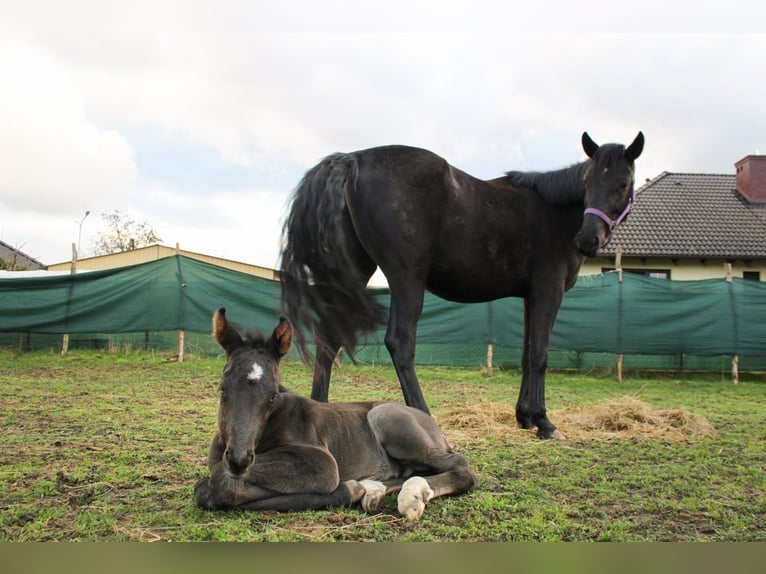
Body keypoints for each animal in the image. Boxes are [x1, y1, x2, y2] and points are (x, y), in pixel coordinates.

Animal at [195, 310, 476, 520]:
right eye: (222, 388)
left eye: (272, 395)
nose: (239, 460)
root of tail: (431, 424)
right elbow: (212, 484)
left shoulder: (323, 463)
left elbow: (215, 483)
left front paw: (348, 489)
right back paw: (374, 492)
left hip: (387, 418)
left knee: (461, 467)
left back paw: (411, 497)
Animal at [280, 133, 640, 438]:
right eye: (587, 181)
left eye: (622, 183)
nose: (588, 240)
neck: (555, 213)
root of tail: (352, 159)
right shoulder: (548, 292)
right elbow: (540, 354)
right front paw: (544, 422)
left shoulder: (530, 297)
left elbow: (526, 354)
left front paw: (524, 416)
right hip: (407, 277)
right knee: (399, 342)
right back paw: (423, 415)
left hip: (355, 273)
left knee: (329, 339)